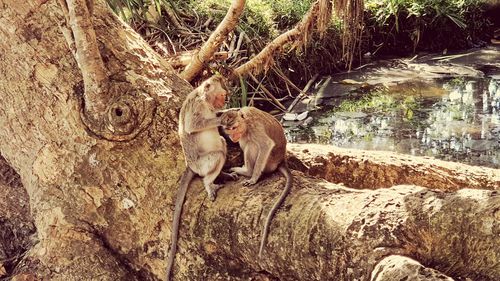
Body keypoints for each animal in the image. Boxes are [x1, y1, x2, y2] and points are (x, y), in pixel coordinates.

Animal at [165, 75, 233, 278]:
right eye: (221, 95)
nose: (224, 101)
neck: (203, 98)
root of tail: (190, 166)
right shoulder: (197, 105)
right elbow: (192, 125)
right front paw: (223, 117)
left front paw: (225, 113)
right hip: (202, 164)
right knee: (217, 155)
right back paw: (209, 183)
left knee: (221, 142)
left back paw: (223, 174)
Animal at [220, 106, 292, 258]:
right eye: (229, 130)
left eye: (234, 127)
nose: (232, 137)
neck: (245, 122)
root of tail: (281, 160)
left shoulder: (255, 128)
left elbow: (265, 145)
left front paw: (253, 179)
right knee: (246, 142)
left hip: (269, 162)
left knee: (252, 144)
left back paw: (249, 173)